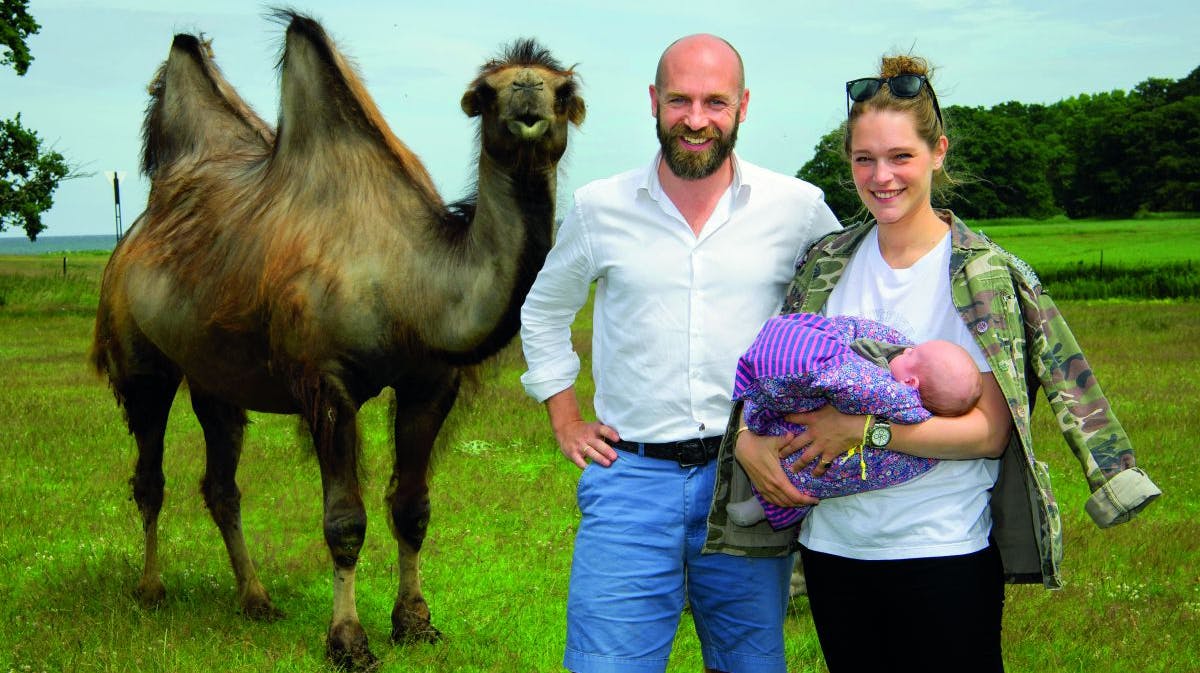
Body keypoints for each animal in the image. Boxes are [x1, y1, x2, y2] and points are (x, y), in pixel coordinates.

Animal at [91, 9, 583, 667]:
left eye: (564, 92)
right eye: (484, 94)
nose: (527, 102)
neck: (412, 282)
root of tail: (136, 235)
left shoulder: (431, 382)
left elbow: (413, 508)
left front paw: (416, 623)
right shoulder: (327, 383)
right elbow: (345, 522)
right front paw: (348, 641)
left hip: (215, 373)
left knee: (221, 485)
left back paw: (256, 599)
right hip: (139, 359)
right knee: (149, 476)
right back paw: (151, 590)